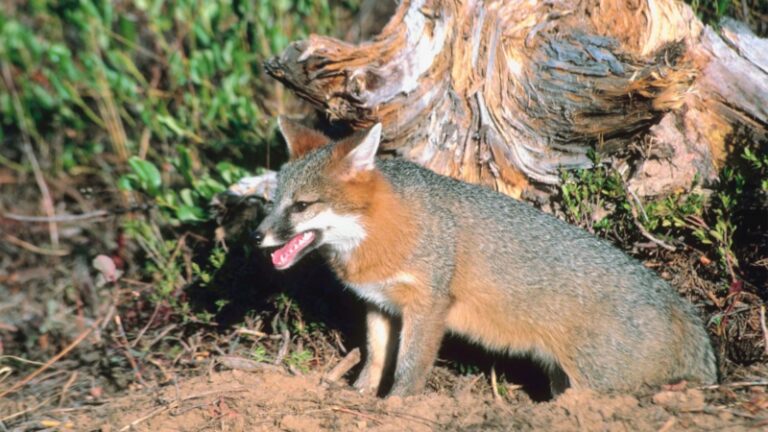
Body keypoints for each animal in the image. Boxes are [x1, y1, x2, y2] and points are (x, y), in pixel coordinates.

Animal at [253, 116, 717, 397]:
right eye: (274, 203)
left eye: (301, 206)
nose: (258, 236)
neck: (380, 234)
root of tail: (680, 306)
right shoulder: (380, 305)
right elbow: (375, 358)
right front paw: (360, 397)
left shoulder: (428, 307)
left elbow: (408, 368)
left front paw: (395, 406)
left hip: (594, 383)